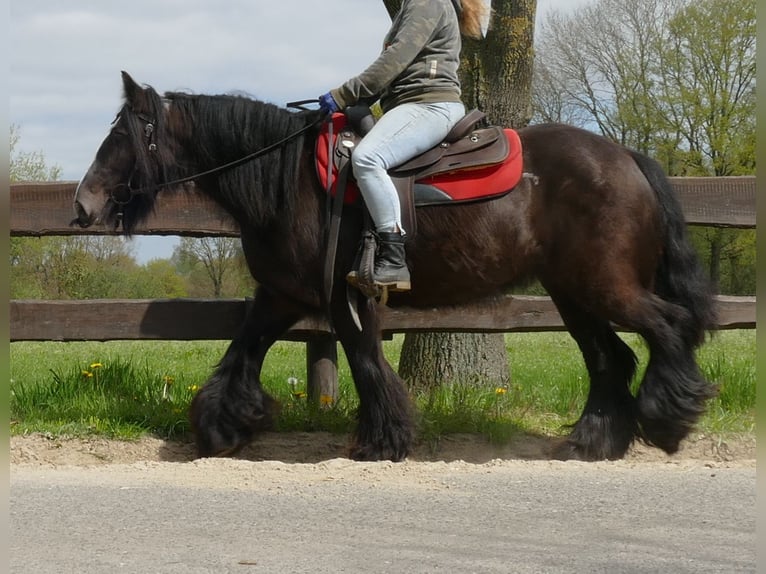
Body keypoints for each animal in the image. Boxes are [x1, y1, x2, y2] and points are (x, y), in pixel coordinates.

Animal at [73, 74, 720, 464]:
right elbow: (241, 353)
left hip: (604, 287)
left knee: (666, 328)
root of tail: (626, 158)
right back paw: (595, 440)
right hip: (573, 295)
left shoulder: (345, 298)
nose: (83, 205)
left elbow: (365, 364)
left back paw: (667, 419)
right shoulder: (281, 296)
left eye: (122, 136)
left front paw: (383, 440)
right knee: (612, 358)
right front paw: (221, 426)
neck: (290, 182)